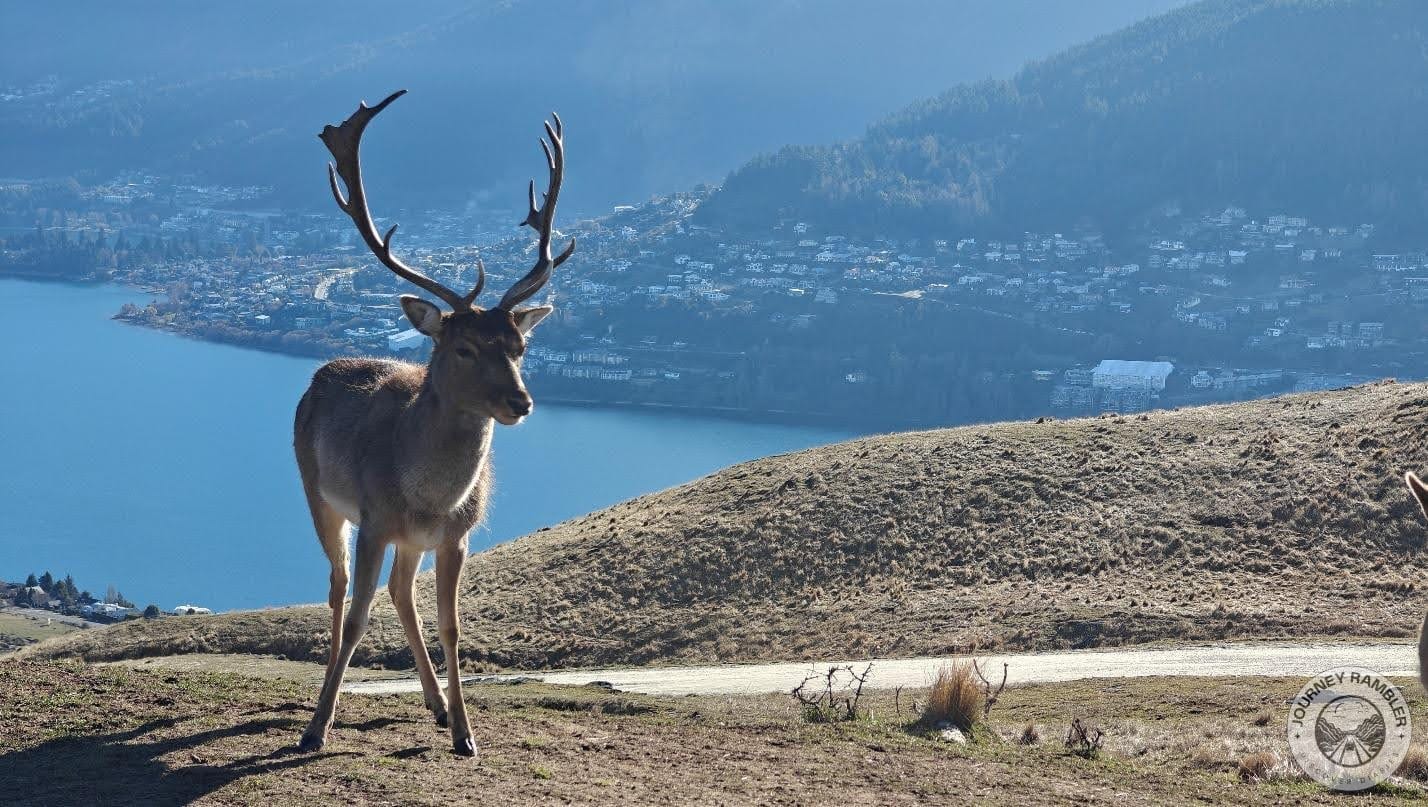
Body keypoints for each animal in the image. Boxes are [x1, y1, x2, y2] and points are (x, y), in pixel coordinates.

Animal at [294, 90, 574, 757]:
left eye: (519, 346)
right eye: (464, 347)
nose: (521, 402)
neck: (426, 496)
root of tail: (320, 374)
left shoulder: (456, 536)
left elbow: (450, 625)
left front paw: (467, 734)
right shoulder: (373, 521)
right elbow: (356, 618)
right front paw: (316, 728)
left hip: (408, 543)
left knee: (401, 593)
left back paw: (438, 707)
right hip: (318, 493)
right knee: (338, 588)